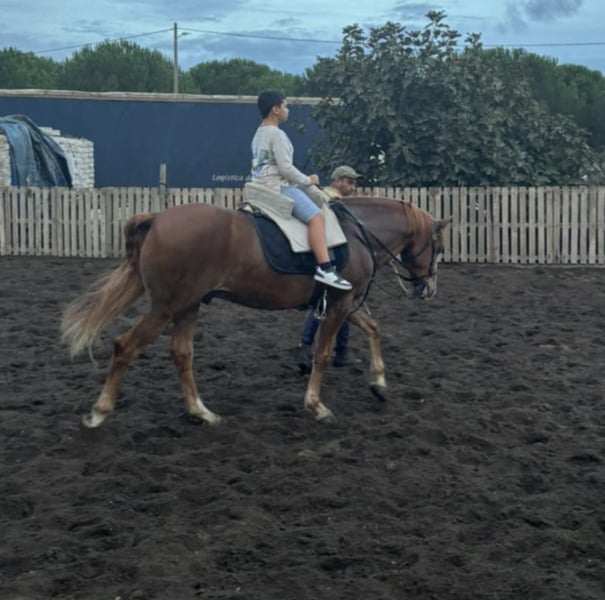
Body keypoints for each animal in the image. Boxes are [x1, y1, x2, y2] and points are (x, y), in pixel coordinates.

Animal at [60, 196, 451, 427]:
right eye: (439, 247)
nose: (429, 289)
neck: (356, 234)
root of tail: (157, 218)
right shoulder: (340, 302)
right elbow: (324, 354)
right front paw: (316, 404)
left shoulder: (343, 300)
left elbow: (372, 327)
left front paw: (380, 383)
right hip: (166, 307)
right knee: (125, 346)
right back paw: (100, 411)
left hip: (187, 305)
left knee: (182, 353)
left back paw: (200, 411)